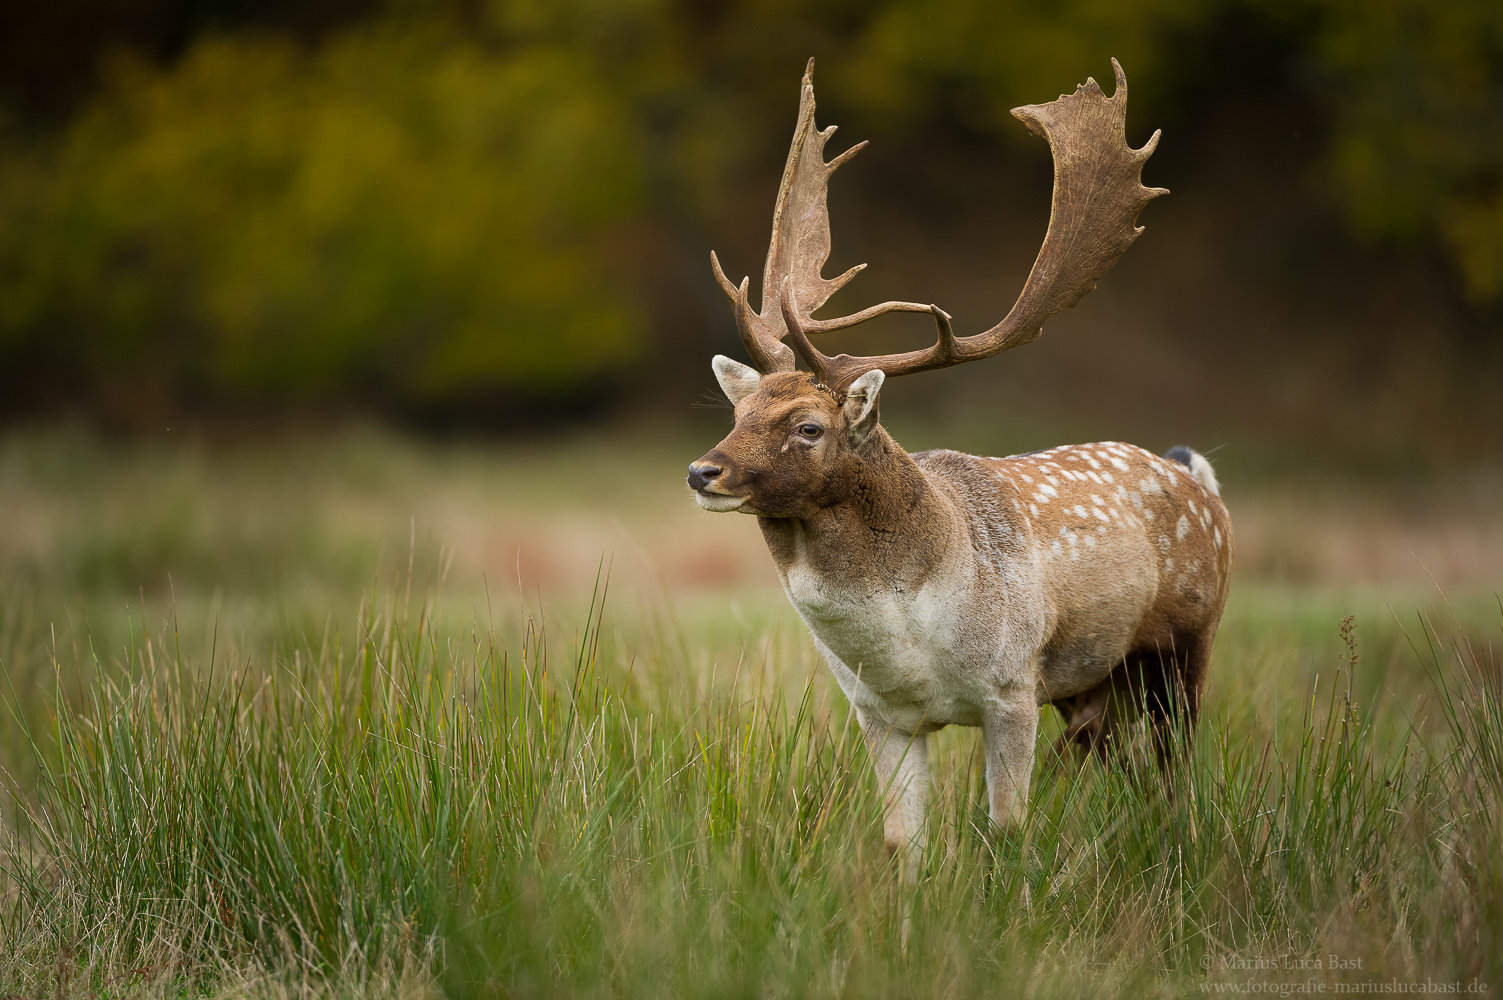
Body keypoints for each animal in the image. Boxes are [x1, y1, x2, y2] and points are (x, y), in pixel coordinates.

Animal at [691, 58, 1232, 860]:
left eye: (809, 427)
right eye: (739, 413)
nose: (704, 471)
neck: (913, 636)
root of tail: (1196, 478)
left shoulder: (1011, 687)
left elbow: (1006, 827)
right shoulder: (879, 712)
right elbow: (900, 842)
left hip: (1188, 642)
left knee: (1177, 770)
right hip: (1093, 686)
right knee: (1120, 761)